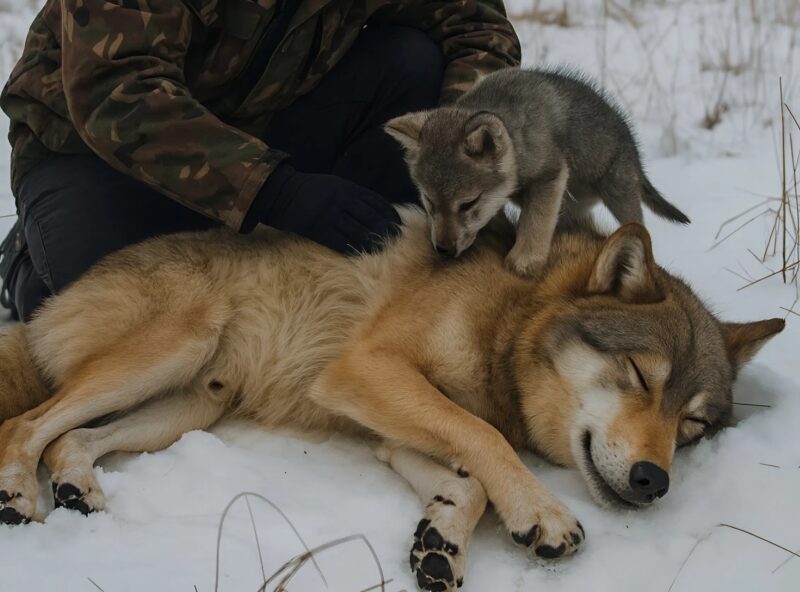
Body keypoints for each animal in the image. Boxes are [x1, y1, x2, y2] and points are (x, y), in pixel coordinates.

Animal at [0, 209, 781, 592]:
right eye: (640, 376)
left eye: (693, 424)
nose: (653, 482)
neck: (509, 318)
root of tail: (45, 306)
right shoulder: (367, 372)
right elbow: (487, 441)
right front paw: (544, 514)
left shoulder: (389, 427)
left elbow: (470, 479)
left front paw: (441, 542)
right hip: (177, 347)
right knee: (24, 425)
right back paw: (19, 496)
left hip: (192, 405)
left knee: (68, 438)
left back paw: (75, 488)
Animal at [385, 68, 690, 277]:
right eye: (429, 201)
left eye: (468, 203)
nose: (444, 250)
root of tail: (635, 151)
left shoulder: (550, 175)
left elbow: (535, 222)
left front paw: (523, 262)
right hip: (574, 206)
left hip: (619, 195)